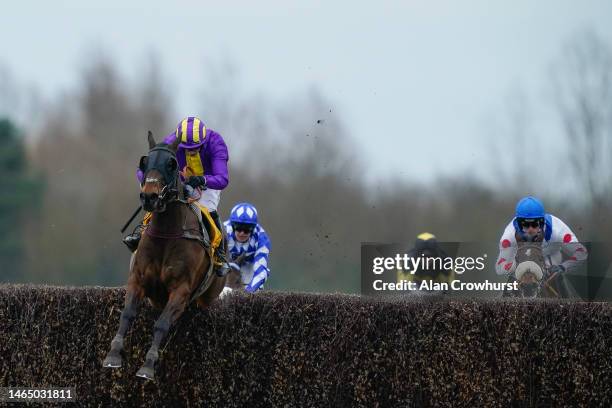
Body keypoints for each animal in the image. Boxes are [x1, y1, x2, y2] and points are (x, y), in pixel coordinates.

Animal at [103, 131, 227, 380]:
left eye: (171, 164)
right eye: (145, 162)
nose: (149, 197)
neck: (167, 233)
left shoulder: (181, 290)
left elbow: (161, 324)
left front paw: (148, 366)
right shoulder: (137, 279)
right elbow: (127, 313)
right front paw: (113, 354)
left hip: (207, 296)